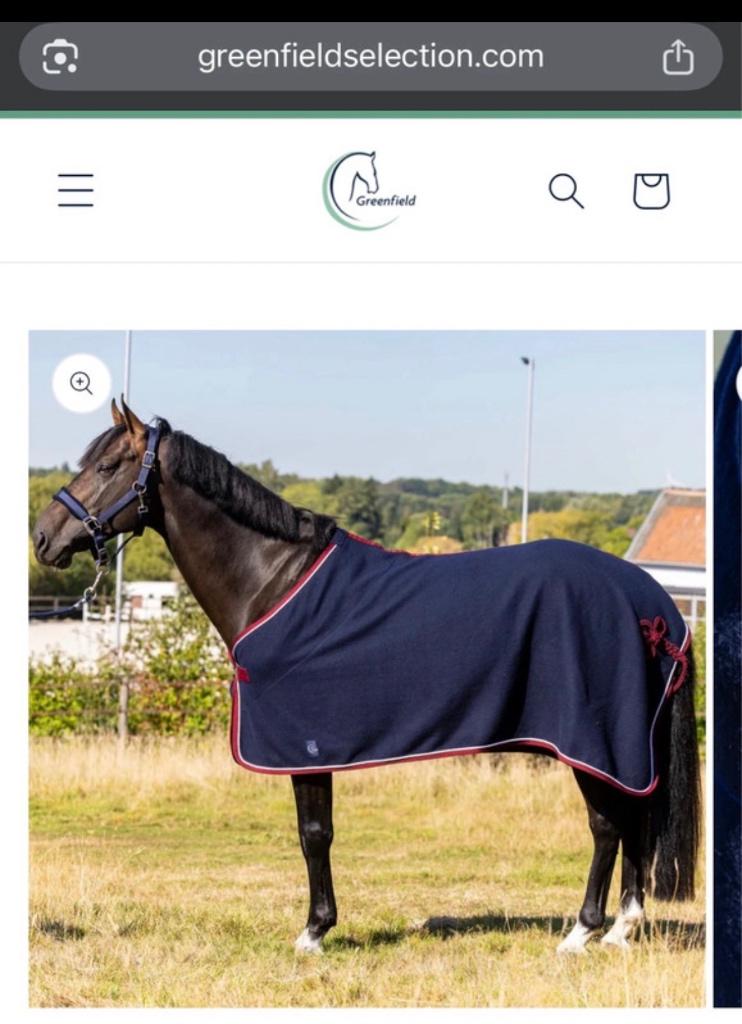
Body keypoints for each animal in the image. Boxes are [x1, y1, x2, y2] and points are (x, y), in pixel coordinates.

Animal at [32, 400, 700, 956]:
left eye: (108, 465)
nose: (43, 538)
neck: (273, 580)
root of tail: (652, 603)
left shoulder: (303, 745)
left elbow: (314, 834)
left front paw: (314, 932)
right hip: (620, 745)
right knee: (634, 820)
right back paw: (621, 928)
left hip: (589, 740)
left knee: (607, 826)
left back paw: (582, 932)